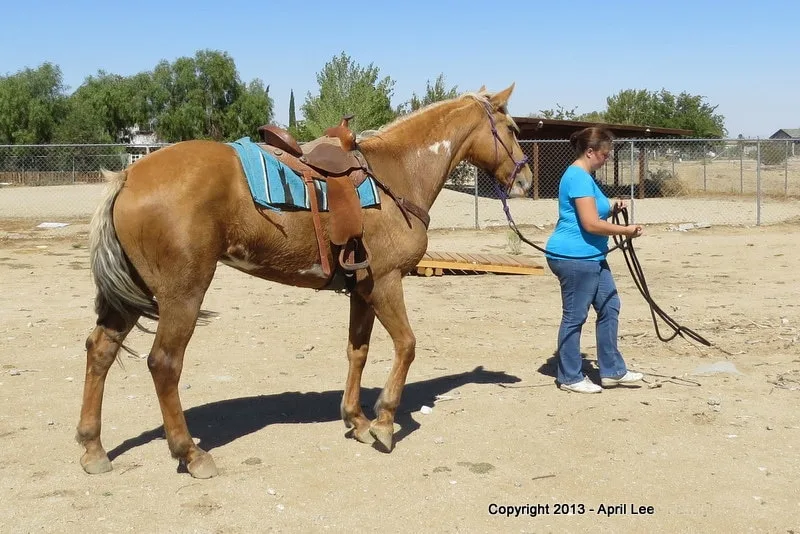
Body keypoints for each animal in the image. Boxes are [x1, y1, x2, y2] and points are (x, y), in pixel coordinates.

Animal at [78, 85, 536, 482]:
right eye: (513, 129)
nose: (526, 180)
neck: (399, 173)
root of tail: (129, 175)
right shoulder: (387, 282)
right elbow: (406, 345)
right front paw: (385, 422)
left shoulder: (362, 290)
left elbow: (357, 351)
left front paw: (357, 420)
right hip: (183, 294)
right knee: (164, 363)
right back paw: (190, 453)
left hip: (131, 296)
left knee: (100, 350)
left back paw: (93, 448)